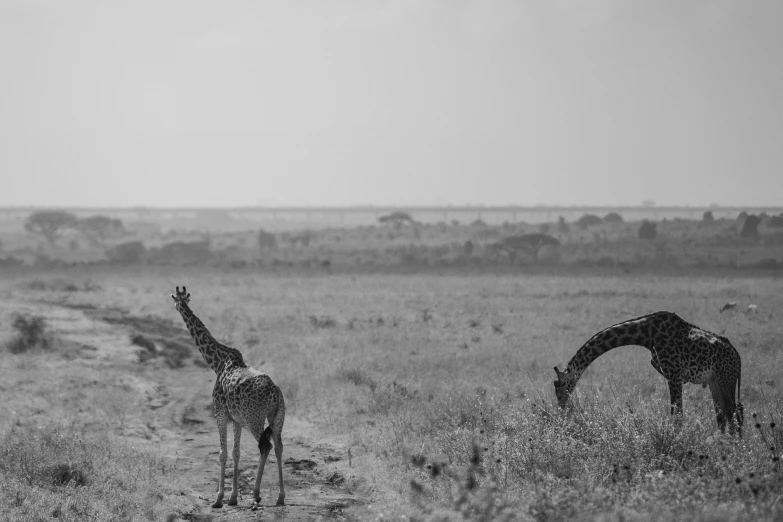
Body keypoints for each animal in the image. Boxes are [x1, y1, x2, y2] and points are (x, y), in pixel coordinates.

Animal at [172, 284, 288, 508]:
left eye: (177, 301)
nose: (178, 307)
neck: (217, 362)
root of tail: (275, 394)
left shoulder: (220, 414)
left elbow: (222, 453)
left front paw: (218, 498)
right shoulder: (236, 420)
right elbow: (236, 453)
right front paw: (233, 498)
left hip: (255, 418)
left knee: (265, 446)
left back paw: (256, 495)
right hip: (277, 417)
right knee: (278, 447)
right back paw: (280, 497)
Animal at [556, 308, 744, 434]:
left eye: (560, 389)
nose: (561, 407)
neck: (646, 335)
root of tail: (738, 357)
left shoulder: (674, 374)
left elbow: (677, 415)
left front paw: (676, 440)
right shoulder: (673, 375)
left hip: (725, 379)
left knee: (733, 412)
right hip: (715, 382)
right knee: (723, 414)